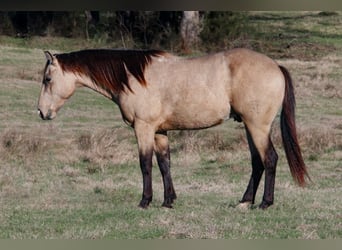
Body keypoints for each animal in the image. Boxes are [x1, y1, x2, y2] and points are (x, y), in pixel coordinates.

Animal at [37, 48, 310, 209]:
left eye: (47, 79)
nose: (41, 112)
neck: (133, 77)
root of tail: (276, 66)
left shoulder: (143, 128)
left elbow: (145, 164)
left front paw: (145, 201)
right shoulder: (159, 131)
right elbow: (164, 163)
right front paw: (168, 201)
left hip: (257, 127)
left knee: (270, 159)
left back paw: (265, 203)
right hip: (250, 127)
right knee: (257, 162)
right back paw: (245, 201)